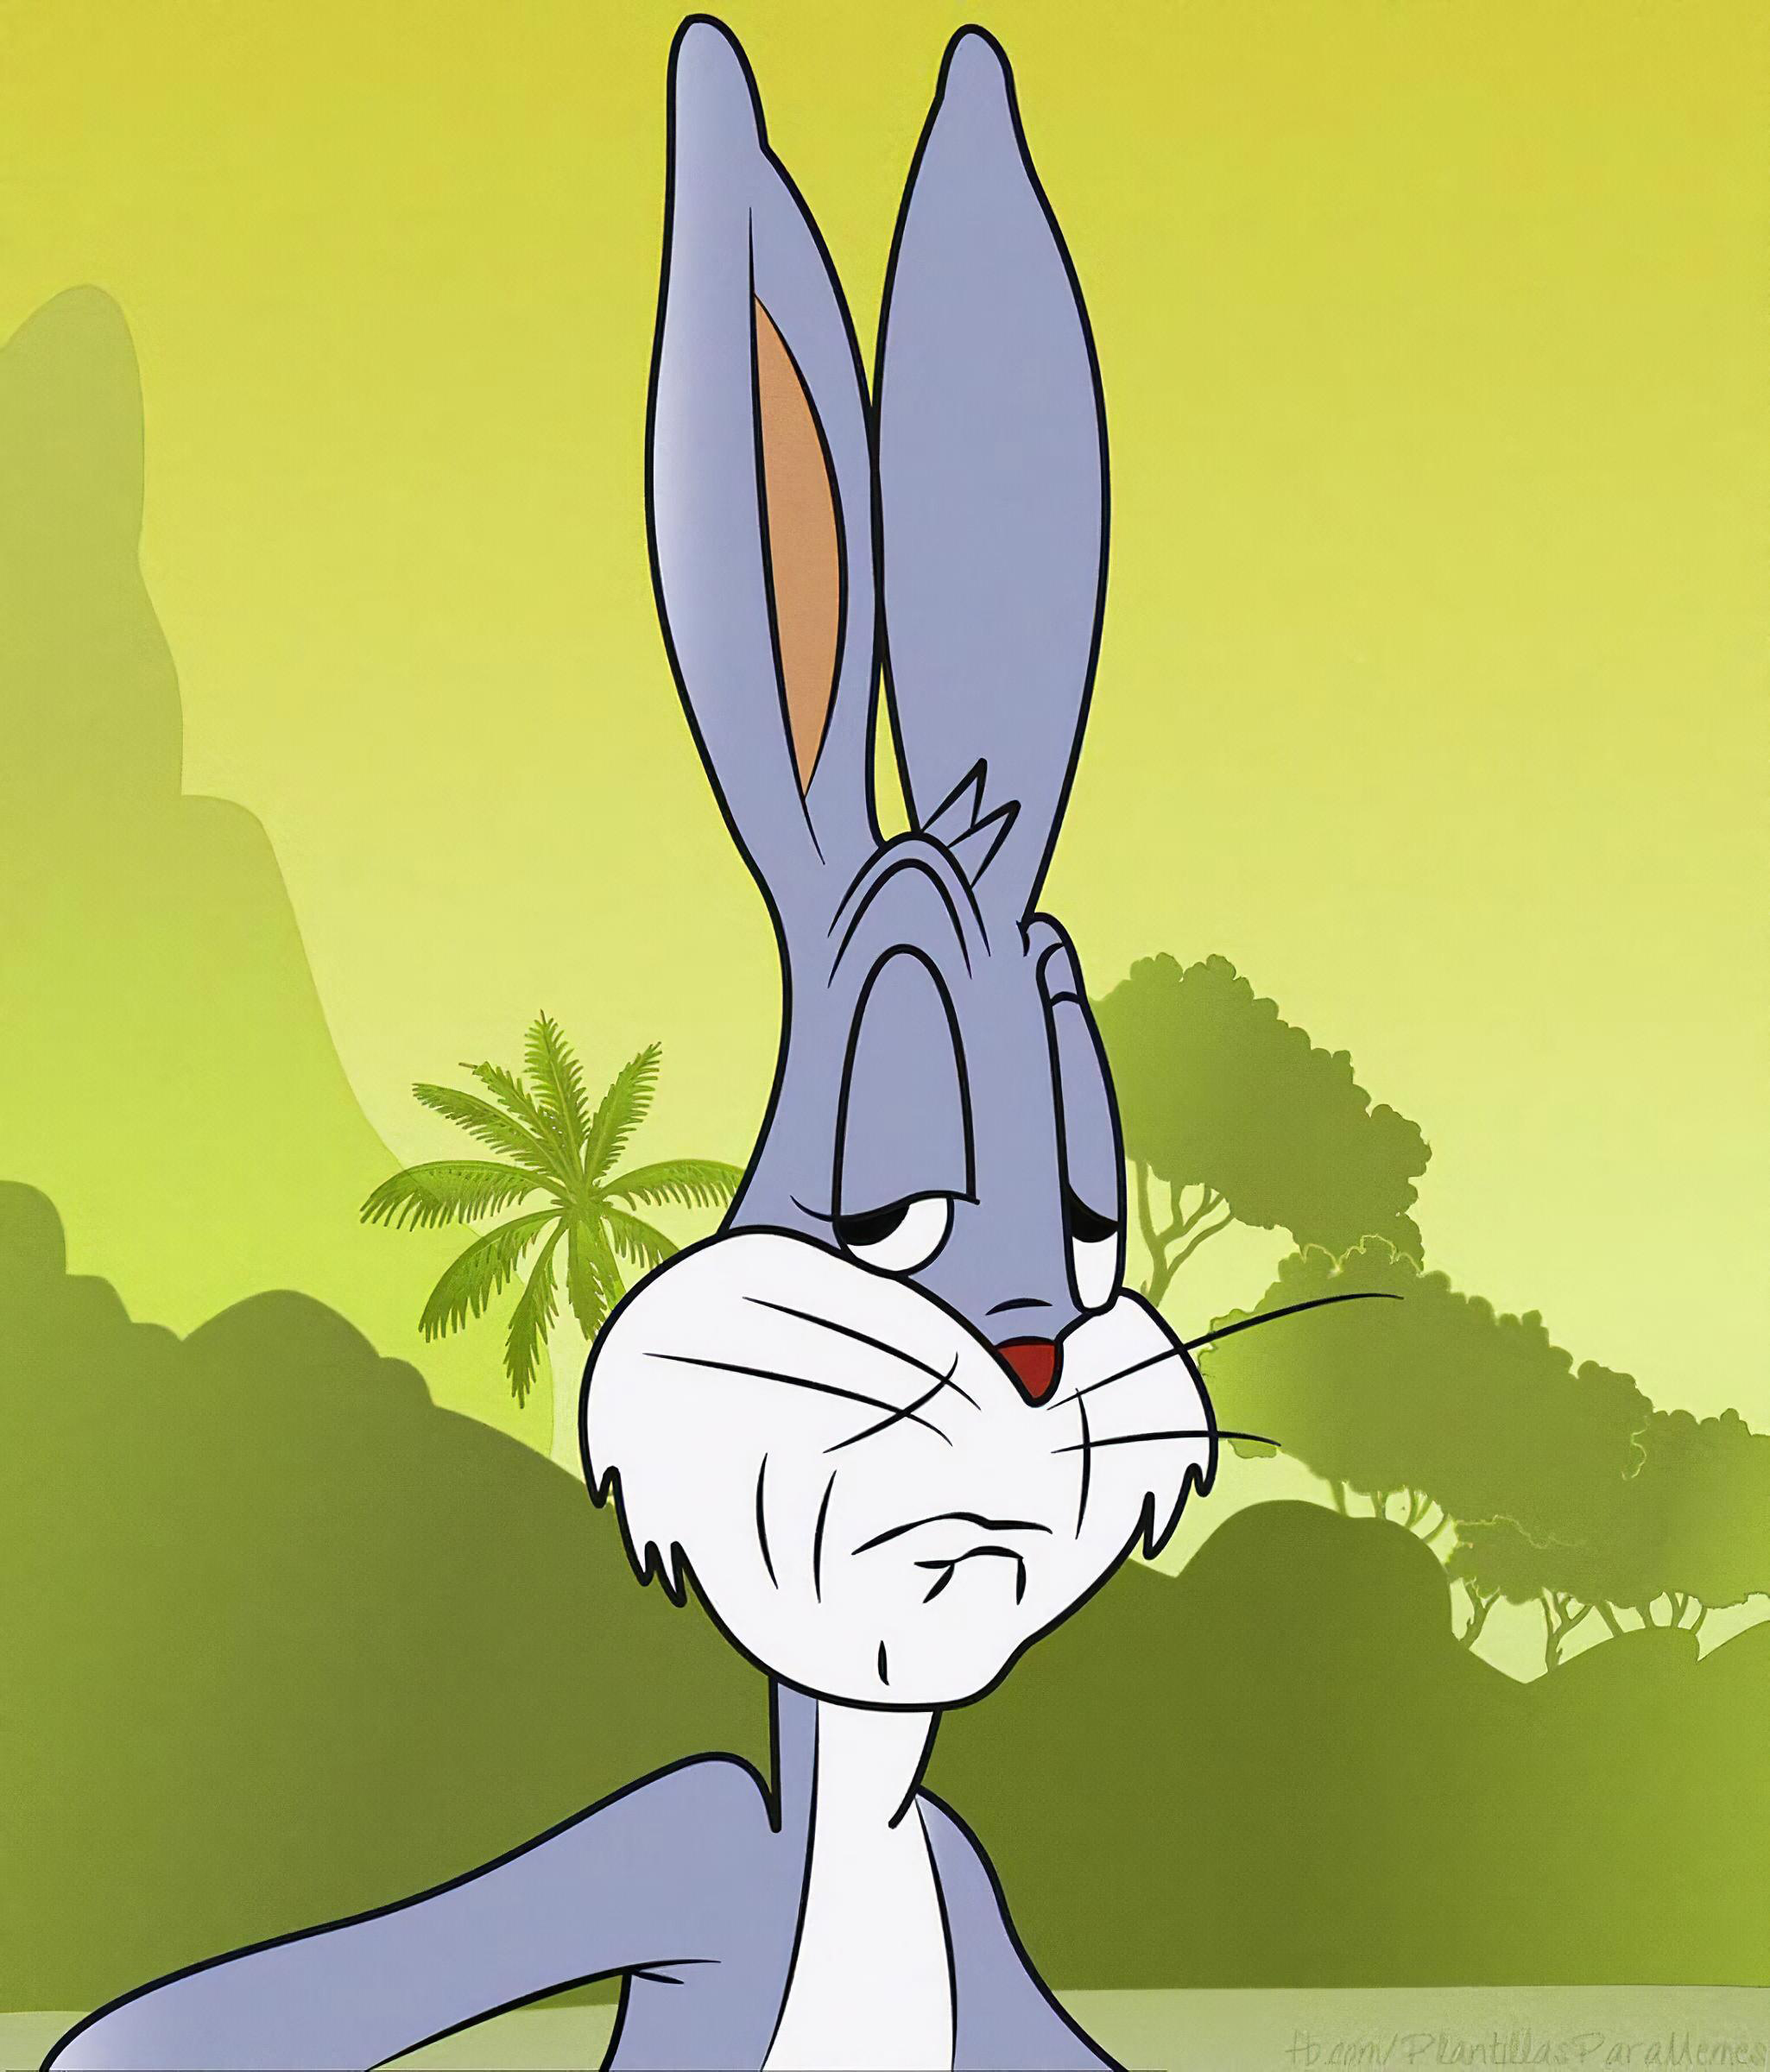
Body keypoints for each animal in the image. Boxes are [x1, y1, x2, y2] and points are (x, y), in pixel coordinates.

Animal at [46, 18, 1217, 2072]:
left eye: (1095, 1220)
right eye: (885, 1198)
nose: (1031, 1356)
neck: (866, 1811)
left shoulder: (970, 1888)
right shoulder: (678, 1846)